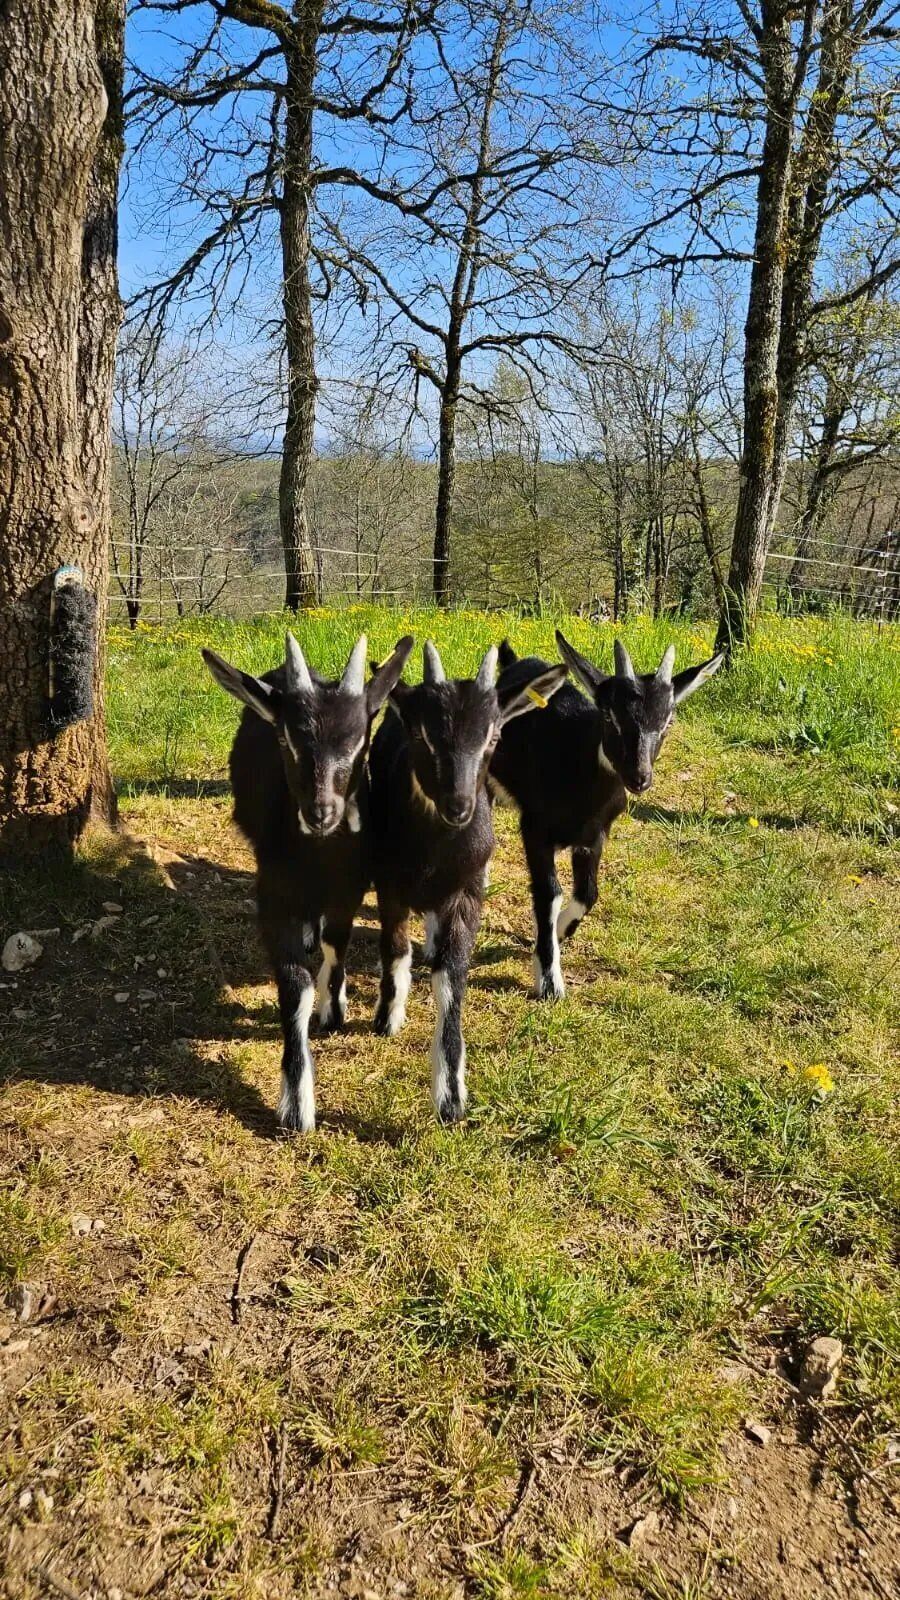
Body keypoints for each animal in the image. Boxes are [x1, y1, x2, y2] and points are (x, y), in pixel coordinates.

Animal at [202, 631, 414, 1131]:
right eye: (286, 738)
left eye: (360, 740)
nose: (321, 812)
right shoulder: (272, 896)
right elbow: (294, 985)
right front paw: (297, 1104)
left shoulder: (349, 887)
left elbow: (337, 943)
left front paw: (333, 1009)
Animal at [368, 641, 567, 1123]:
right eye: (423, 736)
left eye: (493, 737)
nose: (458, 806)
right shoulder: (388, 882)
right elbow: (394, 948)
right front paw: (388, 1017)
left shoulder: (467, 892)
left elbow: (451, 977)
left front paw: (451, 1095)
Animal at [490, 632, 723, 1000]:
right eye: (610, 716)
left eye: (667, 722)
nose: (639, 777)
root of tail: (515, 662)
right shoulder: (535, 830)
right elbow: (549, 892)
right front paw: (549, 981)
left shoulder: (594, 837)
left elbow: (588, 894)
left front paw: (560, 931)